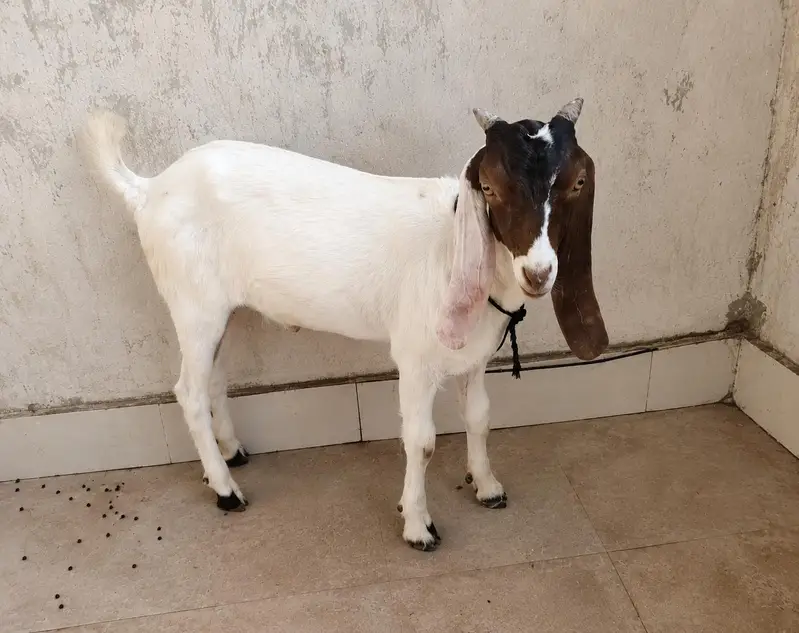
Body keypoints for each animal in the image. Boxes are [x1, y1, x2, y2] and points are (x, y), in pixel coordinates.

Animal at [78, 99, 608, 551]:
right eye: (492, 188)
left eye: (576, 184)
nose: (538, 273)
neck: (447, 243)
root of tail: (149, 190)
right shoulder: (415, 357)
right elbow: (423, 442)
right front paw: (417, 525)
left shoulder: (473, 355)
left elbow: (479, 417)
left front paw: (488, 487)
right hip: (193, 303)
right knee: (188, 390)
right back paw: (226, 491)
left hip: (217, 309)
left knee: (214, 378)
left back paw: (231, 454)